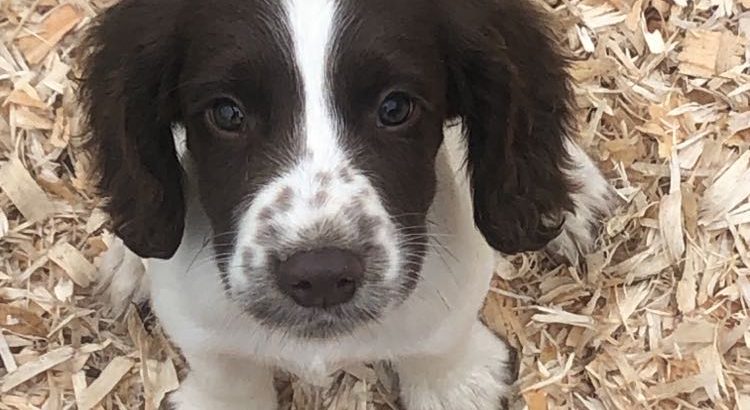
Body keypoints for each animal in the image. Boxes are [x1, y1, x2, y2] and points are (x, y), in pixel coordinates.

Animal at [81, 1, 616, 408]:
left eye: (396, 107)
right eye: (227, 113)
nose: (320, 275)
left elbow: (442, 341)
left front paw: (452, 385)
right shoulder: (198, 321)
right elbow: (225, 371)